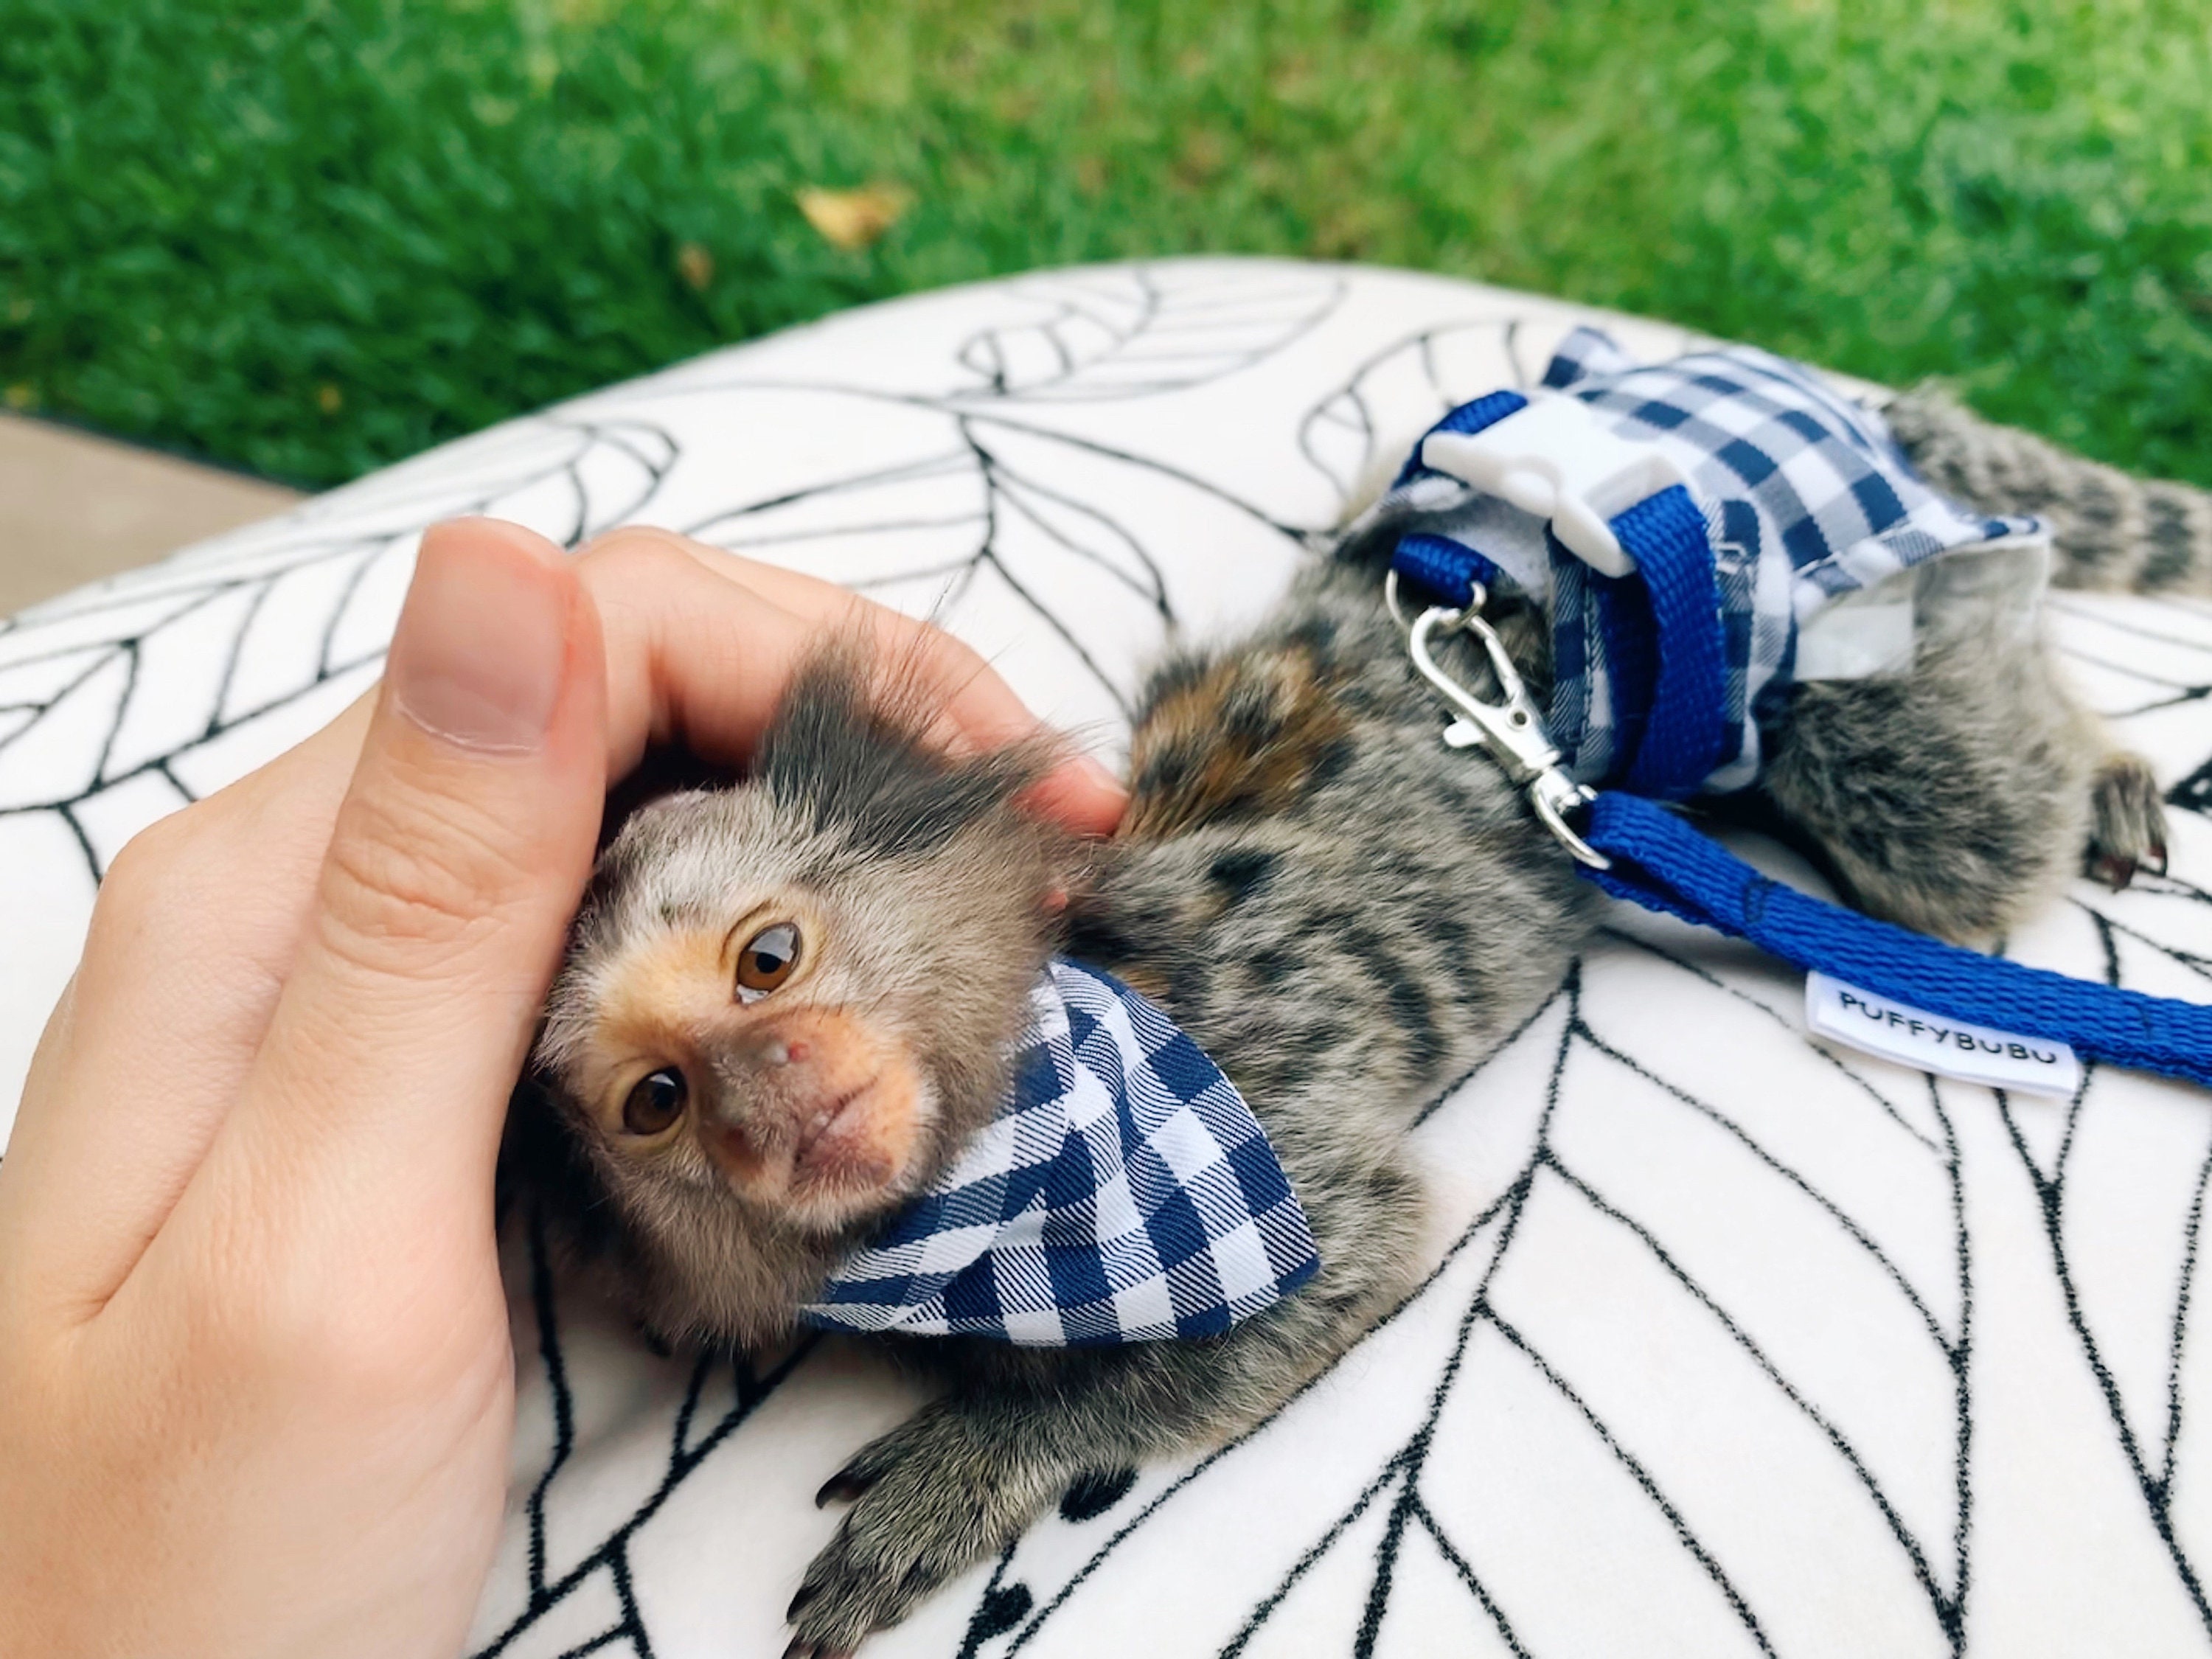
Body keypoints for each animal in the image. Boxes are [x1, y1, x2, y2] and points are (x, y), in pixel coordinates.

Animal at [517, 382, 2208, 1658]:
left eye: (770, 961)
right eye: (659, 1102)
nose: (777, 1090)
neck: (978, 1203)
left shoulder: (1232, 1132)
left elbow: (1344, 1257)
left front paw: (981, 1463)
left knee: (1963, 803)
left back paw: (2099, 763)